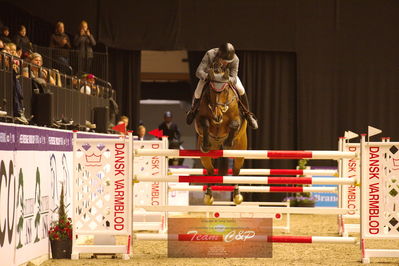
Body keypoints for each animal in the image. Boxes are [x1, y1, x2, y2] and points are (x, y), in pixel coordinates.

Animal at [194, 65, 247, 206]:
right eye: (210, 91)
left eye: (226, 91)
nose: (217, 116)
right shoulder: (200, 121)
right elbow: (205, 124)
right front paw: (206, 144)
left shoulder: (237, 120)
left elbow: (234, 124)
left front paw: (228, 142)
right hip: (206, 157)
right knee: (210, 171)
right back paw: (208, 196)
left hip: (240, 152)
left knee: (236, 171)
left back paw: (237, 196)